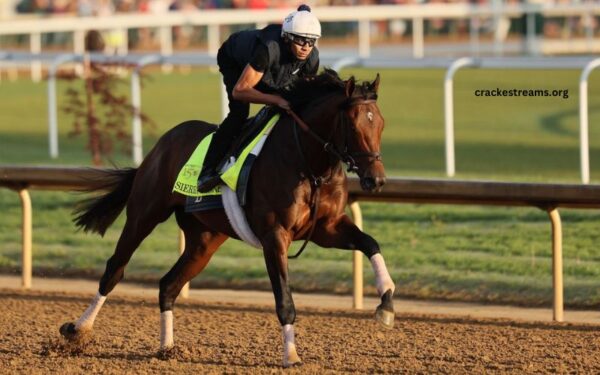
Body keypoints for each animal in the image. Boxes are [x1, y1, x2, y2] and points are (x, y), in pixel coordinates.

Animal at [59, 69, 398, 368]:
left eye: (380, 123)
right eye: (353, 125)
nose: (376, 180)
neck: (310, 165)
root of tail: (159, 146)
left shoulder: (326, 228)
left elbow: (371, 243)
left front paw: (386, 303)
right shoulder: (275, 236)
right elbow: (284, 299)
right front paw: (291, 356)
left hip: (204, 240)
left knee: (168, 285)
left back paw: (167, 349)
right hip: (144, 214)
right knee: (114, 270)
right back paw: (78, 329)